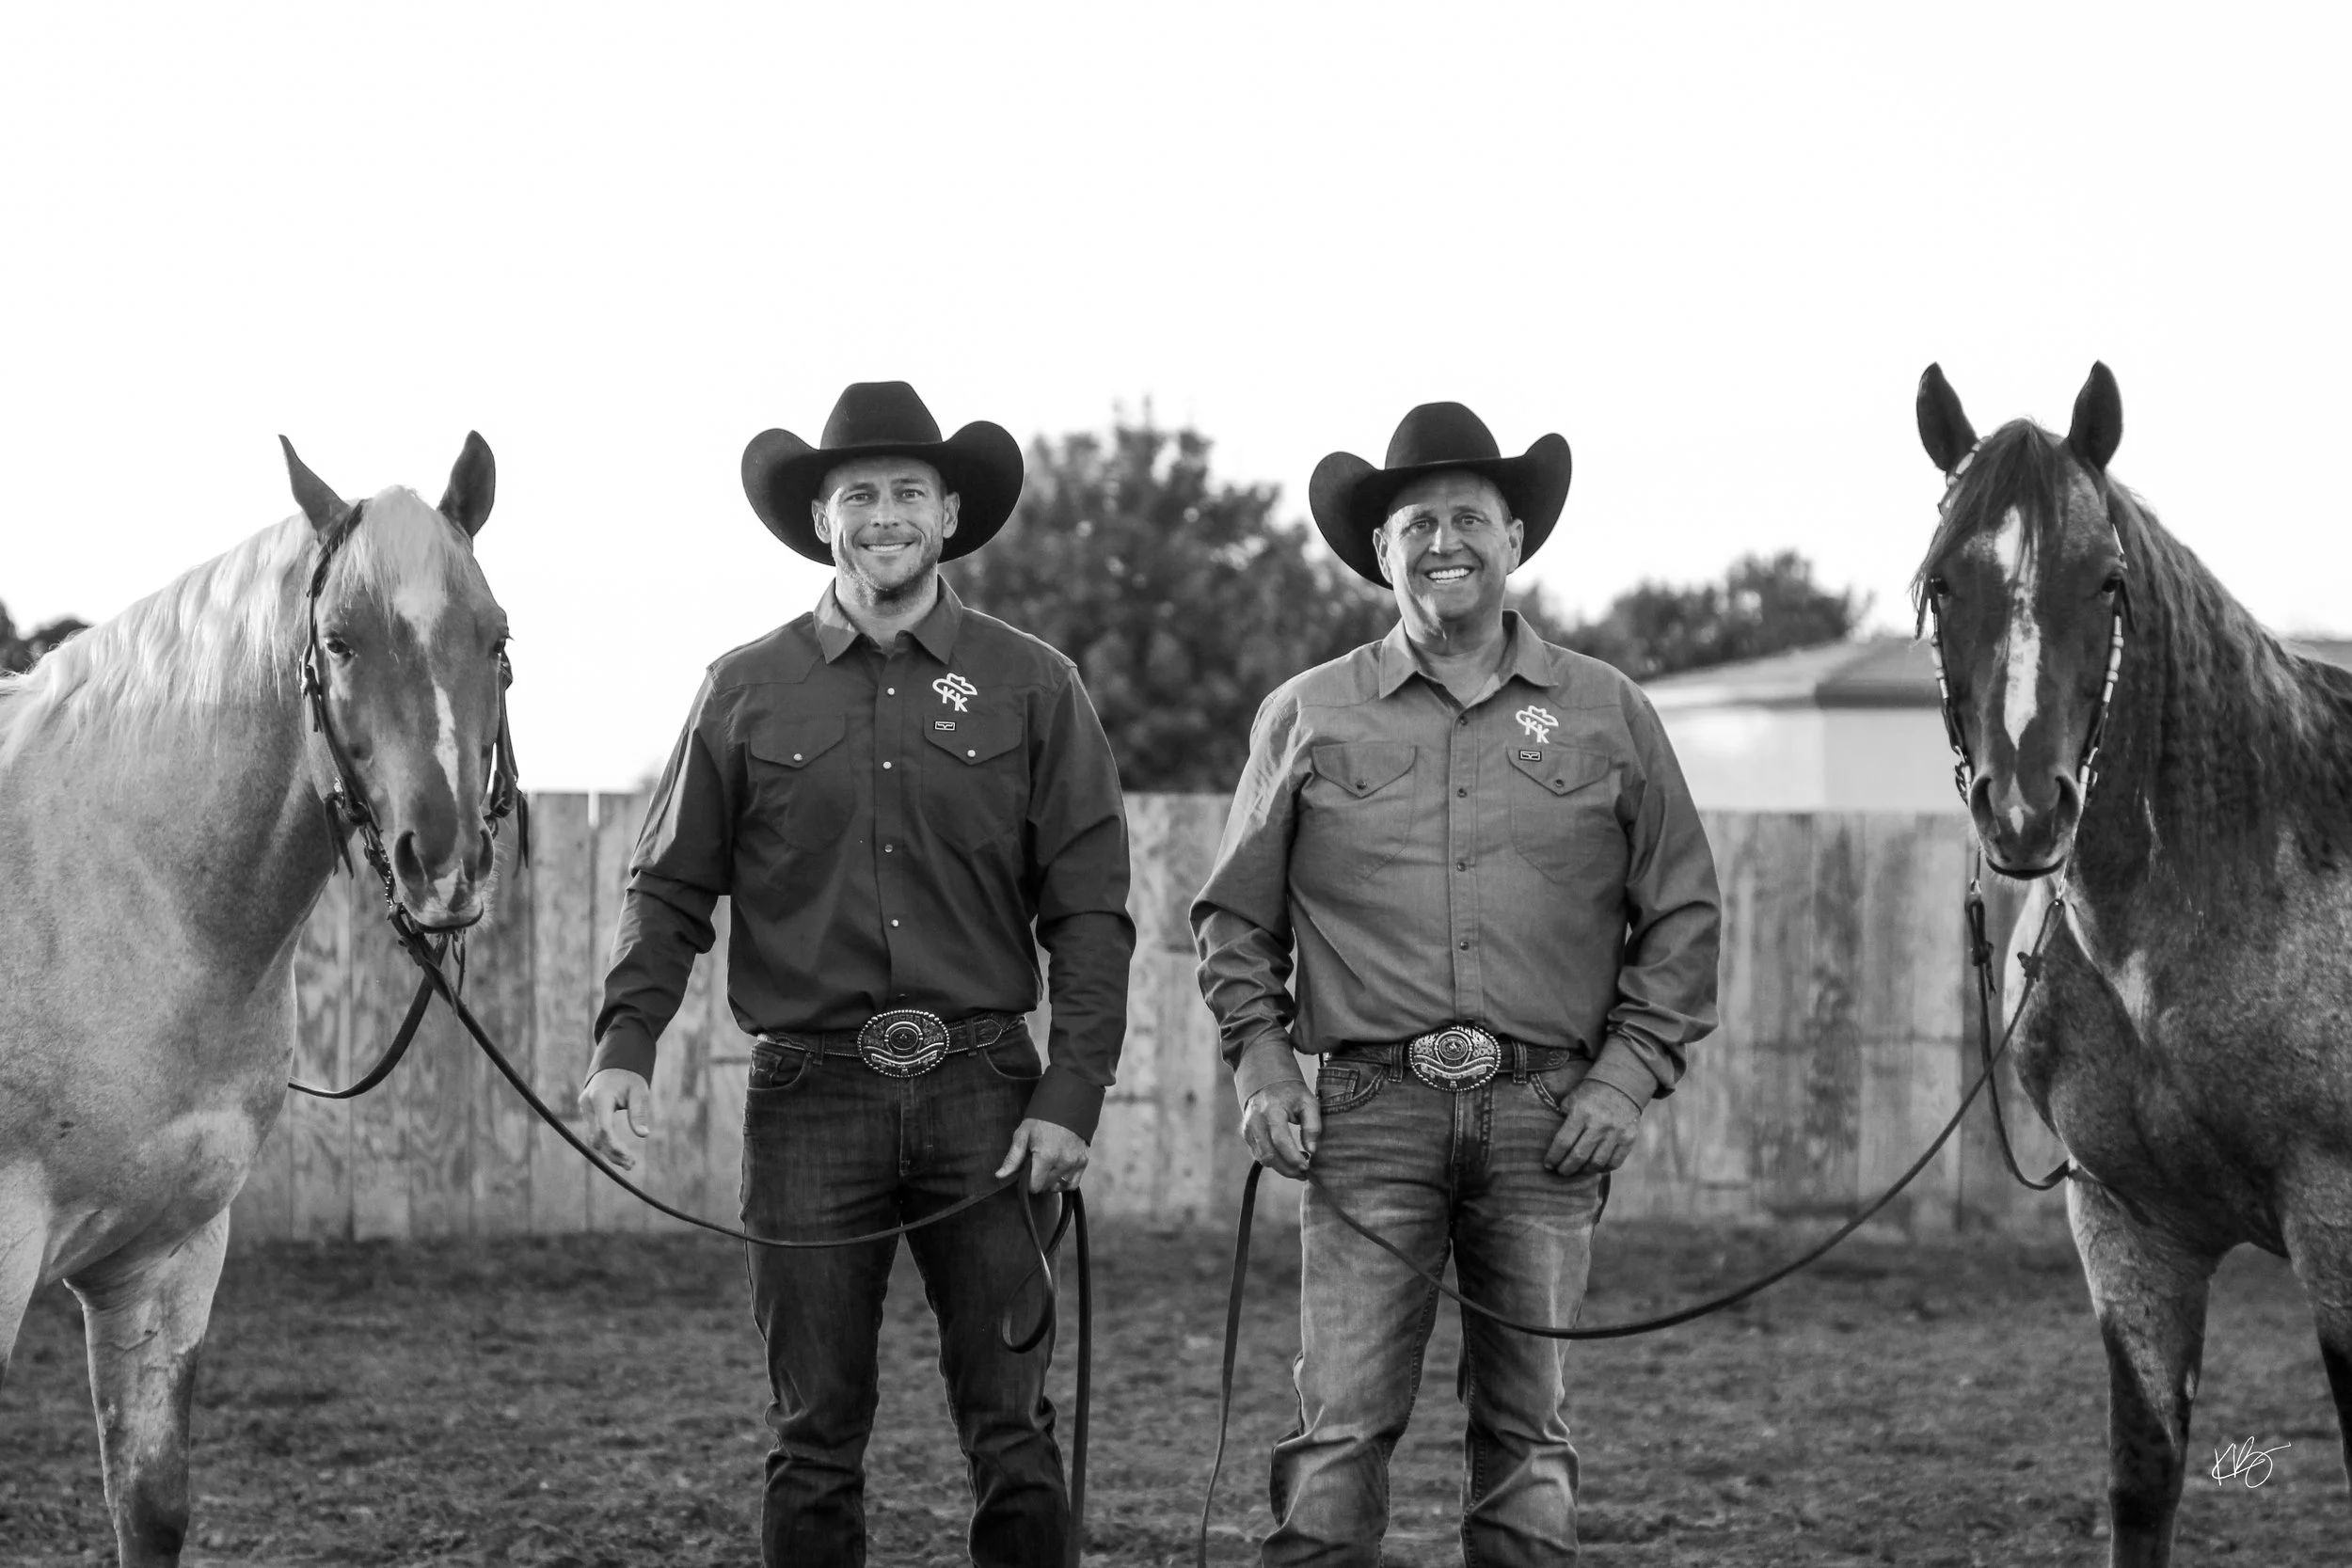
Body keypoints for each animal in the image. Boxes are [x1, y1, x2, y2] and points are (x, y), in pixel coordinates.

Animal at [1912, 362, 2352, 1565]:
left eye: (2107, 581)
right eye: (1941, 584)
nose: (2025, 809)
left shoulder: (2336, 1219)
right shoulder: (2127, 1229)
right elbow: (2143, 1472)